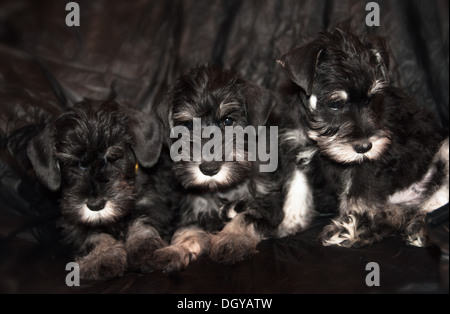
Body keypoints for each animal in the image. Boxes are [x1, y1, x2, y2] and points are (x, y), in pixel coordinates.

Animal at [26, 100, 179, 280]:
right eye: (71, 163)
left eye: (114, 157)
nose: (95, 205)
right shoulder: (75, 223)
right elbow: (95, 236)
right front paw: (104, 257)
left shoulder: (152, 203)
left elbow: (143, 224)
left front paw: (146, 249)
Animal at [153, 65, 290, 272]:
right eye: (187, 125)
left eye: (227, 121)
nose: (209, 168)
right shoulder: (193, 211)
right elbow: (187, 231)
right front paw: (173, 251)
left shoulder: (268, 205)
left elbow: (246, 217)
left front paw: (231, 240)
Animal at [280, 27, 448, 248]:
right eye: (335, 103)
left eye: (372, 98)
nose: (365, 146)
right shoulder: (296, 146)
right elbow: (297, 184)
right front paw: (292, 220)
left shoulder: (368, 164)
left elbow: (358, 196)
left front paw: (352, 220)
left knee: (437, 200)